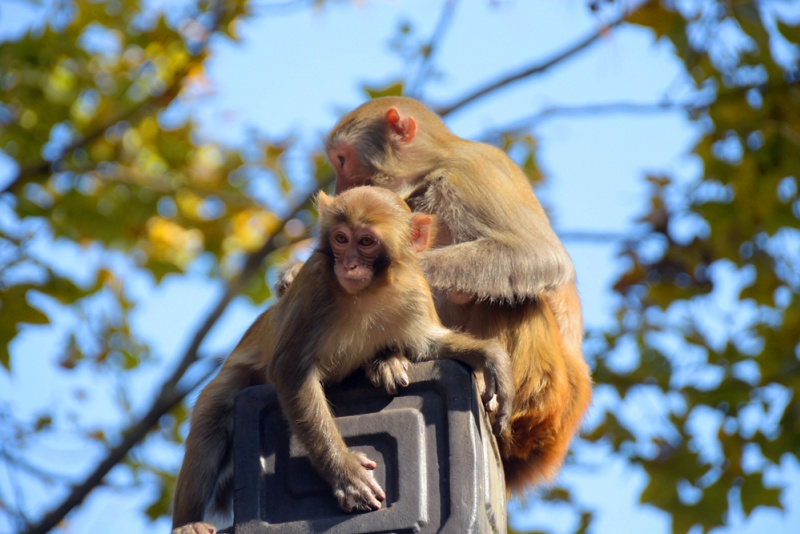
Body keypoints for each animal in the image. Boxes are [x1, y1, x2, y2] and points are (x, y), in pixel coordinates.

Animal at [172, 187, 516, 534]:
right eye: (340, 238)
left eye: (365, 242)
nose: (349, 265)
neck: (368, 292)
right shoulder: (315, 286)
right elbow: (291, 371)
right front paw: (346, 474)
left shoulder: (414, 290)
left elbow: (427, 345)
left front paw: (489, 358)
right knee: (211, 424)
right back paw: (188, 523)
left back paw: (385, 361)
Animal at [324, 96, 592, 494]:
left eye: (341, 160)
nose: (340, 187)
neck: (435, 165)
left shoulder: (470, 175)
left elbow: (540, 255)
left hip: (543, 396)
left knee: (515, 296)